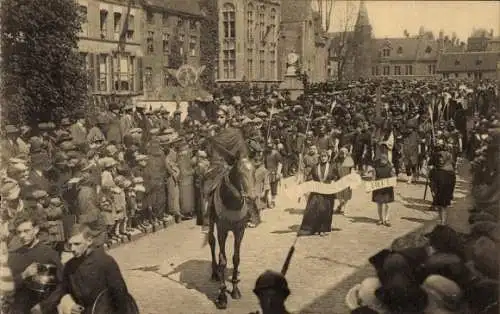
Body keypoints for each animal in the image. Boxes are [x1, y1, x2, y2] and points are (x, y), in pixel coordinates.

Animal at [206, 157, 256, 310]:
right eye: (239, 173)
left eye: (254, 170)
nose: (252, 197)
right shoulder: (222, 230)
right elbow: (223, 259)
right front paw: (222, 296)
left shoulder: (240, 230)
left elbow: (236, 258)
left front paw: (235, 290)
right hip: (211, 221)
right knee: (211, 241)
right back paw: (215, 273)